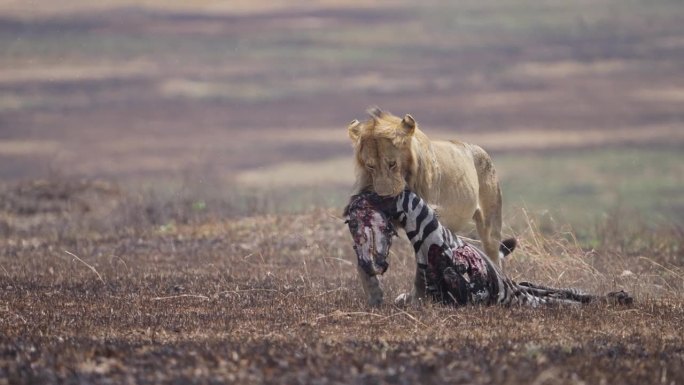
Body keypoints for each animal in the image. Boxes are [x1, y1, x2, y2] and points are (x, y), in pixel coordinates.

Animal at [348, 106, 502, 304]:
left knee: (493, 252)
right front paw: (374, 296)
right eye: (370, 166)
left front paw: (417, 300)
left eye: (392, 164)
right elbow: (363, 254)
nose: (383, 196)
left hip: (490, 223)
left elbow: (422, 264)